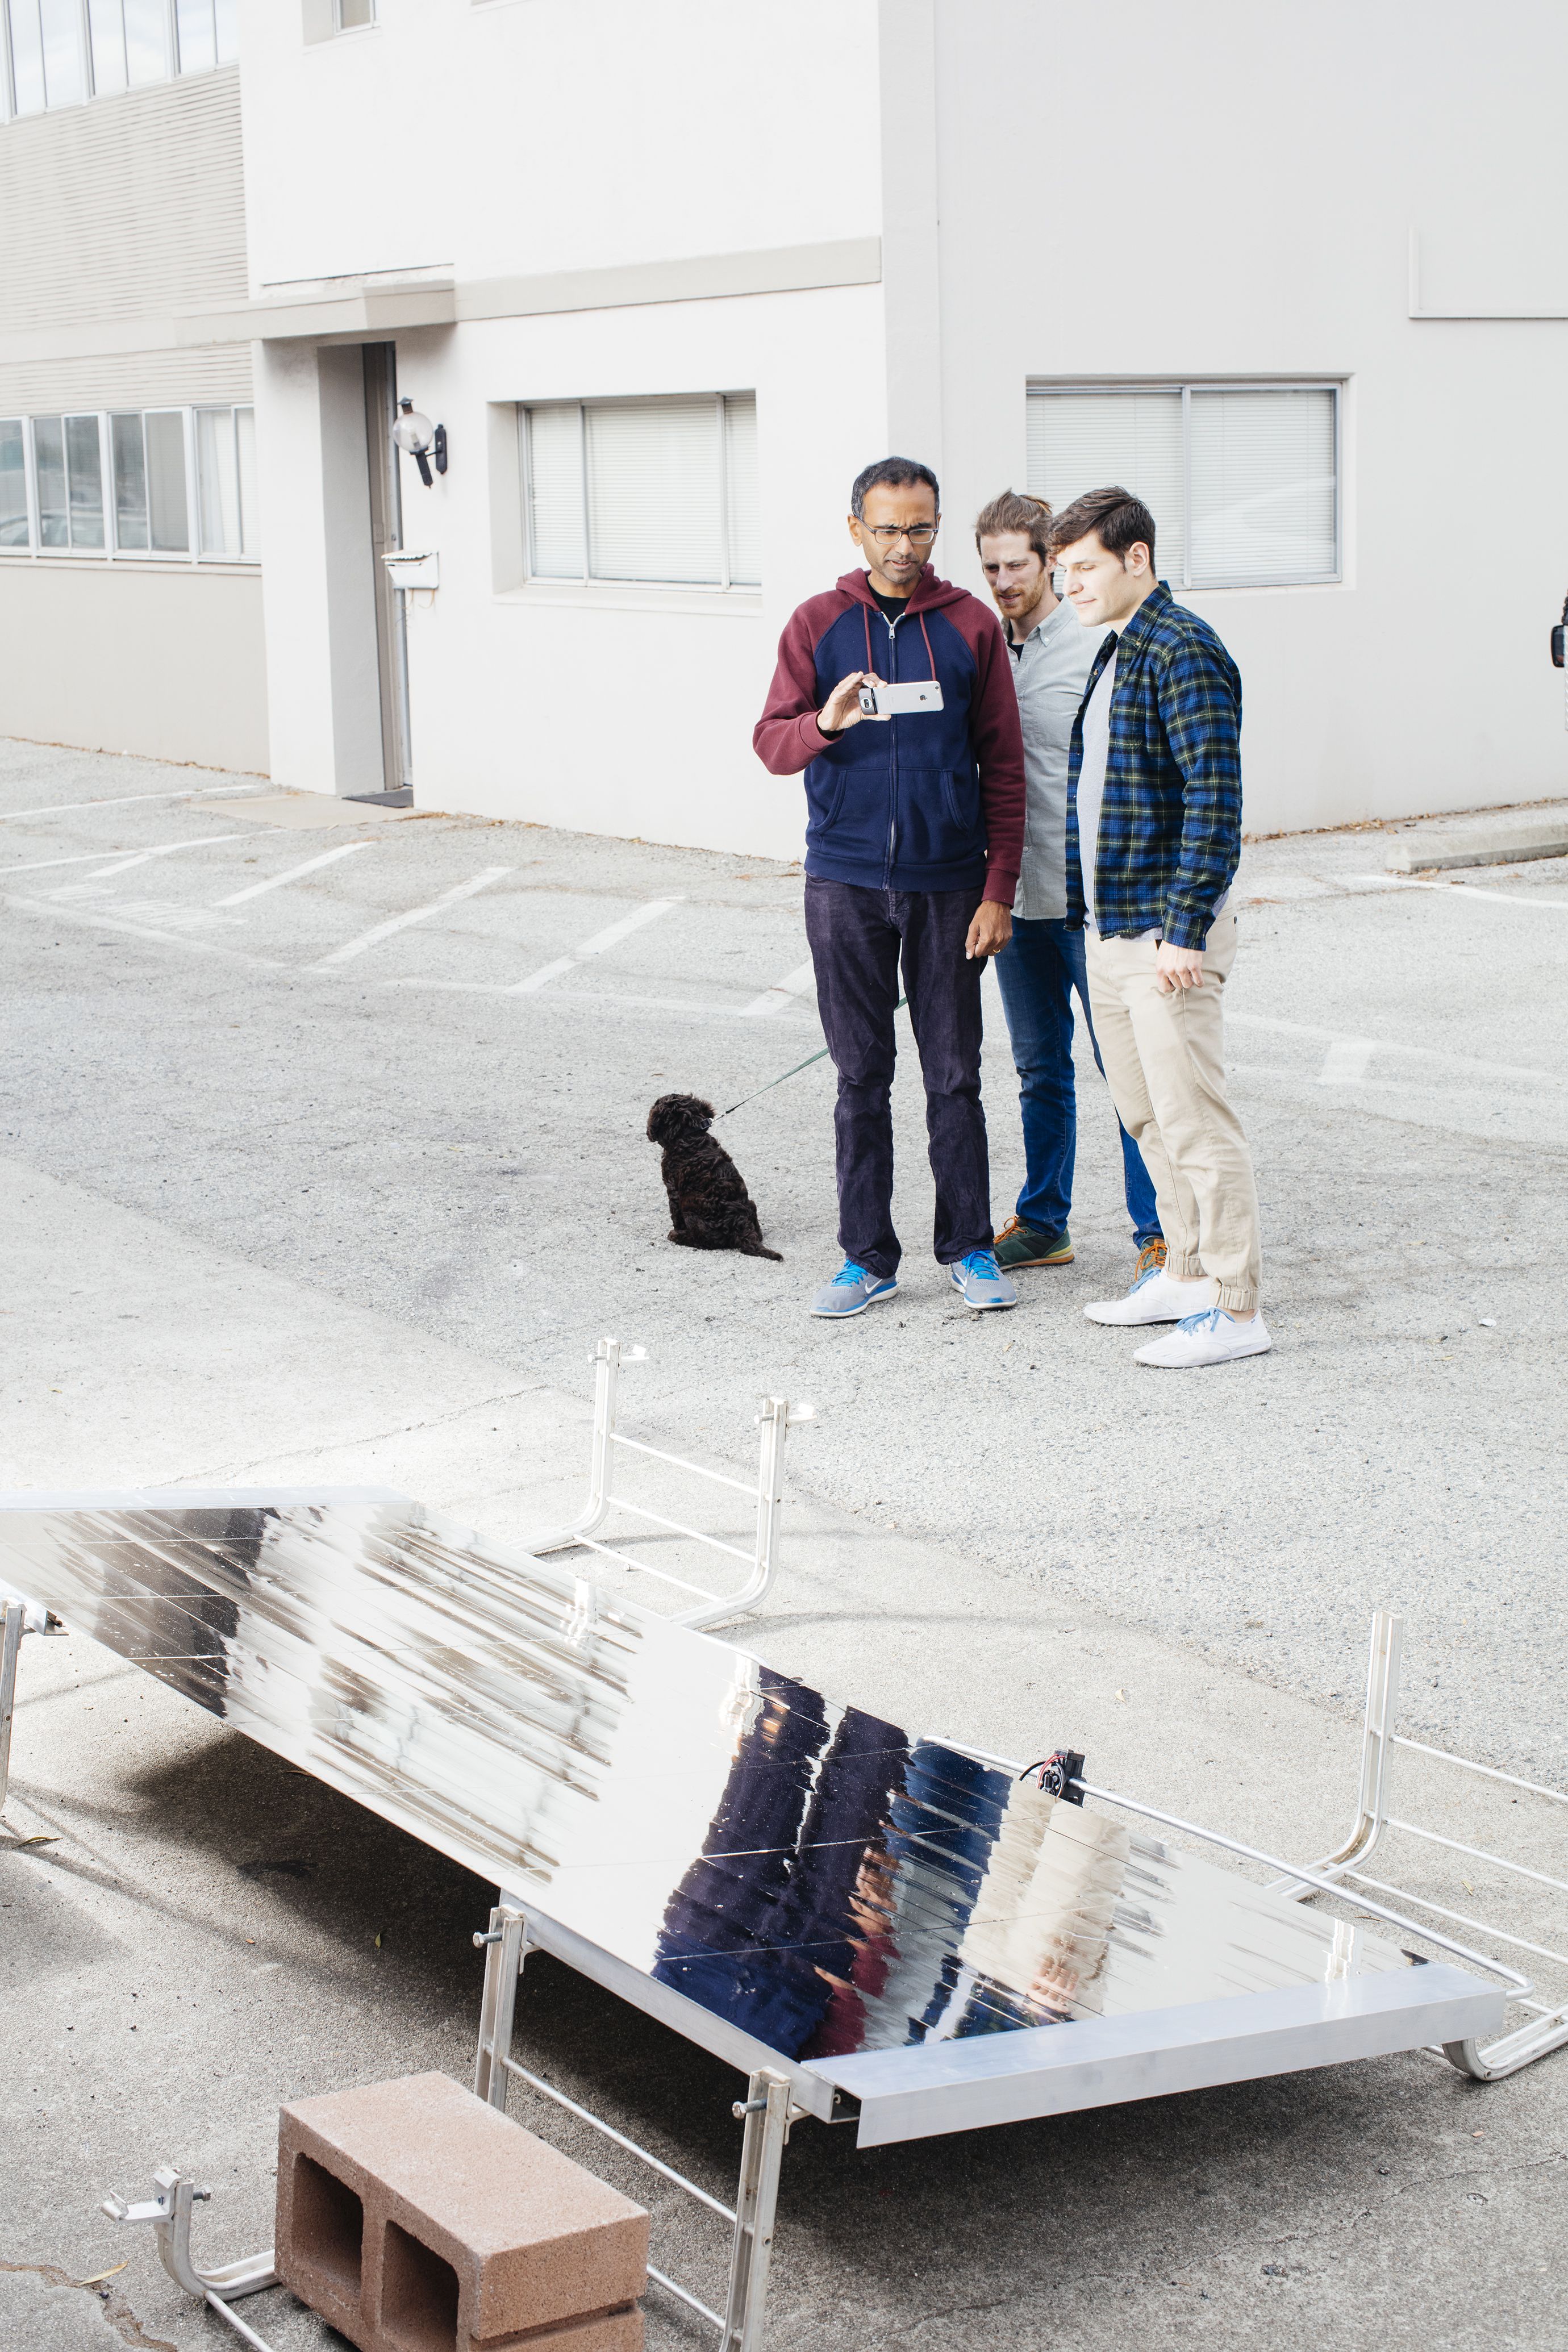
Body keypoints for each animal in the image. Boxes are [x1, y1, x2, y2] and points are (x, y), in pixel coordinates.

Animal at [649, 1091, 780, 1261]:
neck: (690, 1137)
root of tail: (742, 1225)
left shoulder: (673, 1190)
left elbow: (675, 1215)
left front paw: (677, 1230)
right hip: (751, 1205)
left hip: (692, 1212)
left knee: (704, 1241)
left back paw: (678, 1236)